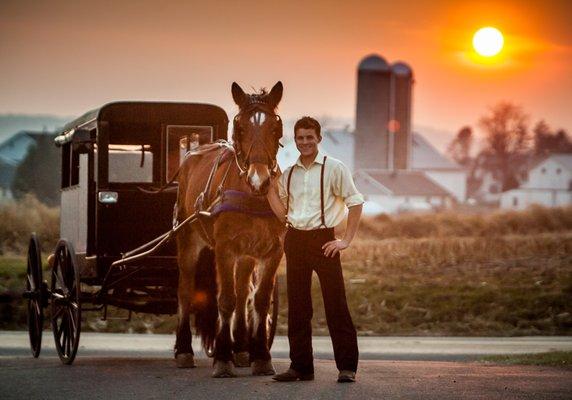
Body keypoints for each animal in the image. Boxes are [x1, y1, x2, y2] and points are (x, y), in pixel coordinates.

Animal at [172, 82, 284, 378]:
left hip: (246, 254)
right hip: (188, 240)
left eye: (275, 128)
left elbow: (259, 300)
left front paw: (260, 356)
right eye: (240, 128)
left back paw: (243, 349)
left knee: (244, 292)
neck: (252, 195)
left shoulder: (273, 251)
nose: (259, 180)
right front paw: (223, 358)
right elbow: (226, 300)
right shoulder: (224, 248)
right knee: (185, 290)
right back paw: (184, 350)